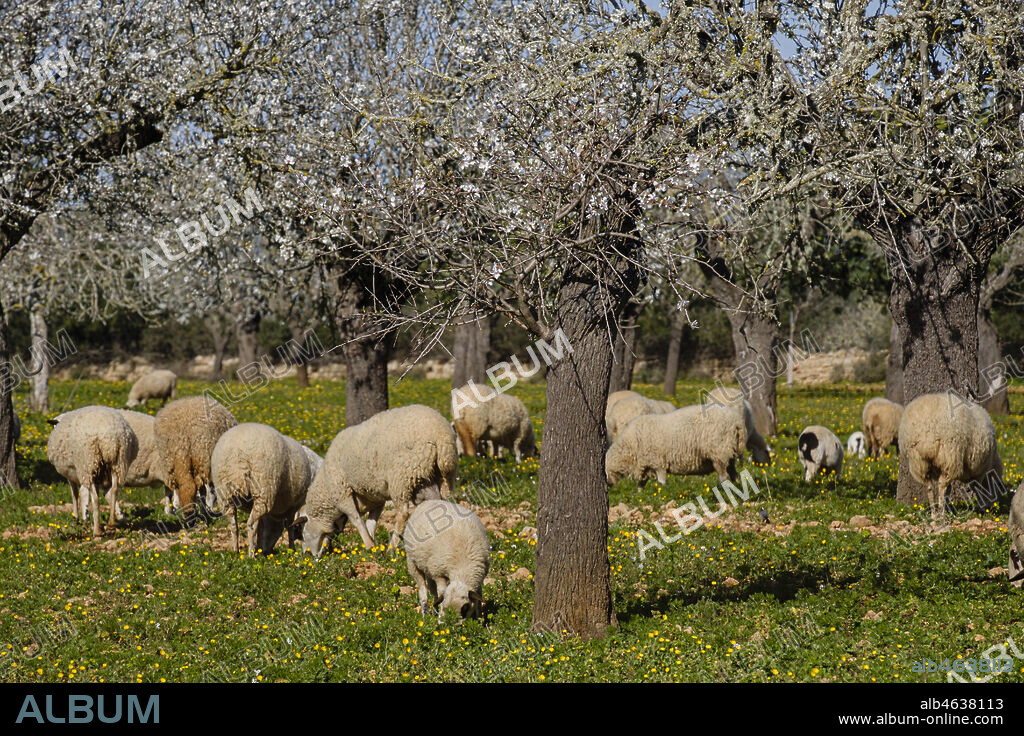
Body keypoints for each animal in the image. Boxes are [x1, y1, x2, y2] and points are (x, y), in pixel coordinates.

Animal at [45, 406, 138, 537]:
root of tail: (110, 437)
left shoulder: (71, 475)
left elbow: (75, 494)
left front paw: (76, 517)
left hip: (88, 463)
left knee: (95, 497)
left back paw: (97, 530)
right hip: (118, 462)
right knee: (114, 490)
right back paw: (111, 523)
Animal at [211, 423, 323, 556]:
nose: (265, 550)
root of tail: (237, 456)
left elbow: (261, 527)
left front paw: (259, 547)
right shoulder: (293, 506)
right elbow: (289, 526)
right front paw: (292, 549)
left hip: (226, 494)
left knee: (234, 525)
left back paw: (236, 551)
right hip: (263, 490)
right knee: (251, 524)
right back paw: (251, 554)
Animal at [293, 404, 458, 555]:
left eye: (300, 530)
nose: (306, 555)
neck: (326, 490)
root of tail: (441, 435)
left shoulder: (342, 493)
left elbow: (357, 520)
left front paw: (368, 545)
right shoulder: (376, 498)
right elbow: (371, 522)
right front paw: (372, 547)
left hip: (402, 477)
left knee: (403, 514)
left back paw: (392, 548)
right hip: (439, 476)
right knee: (440, 507)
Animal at [605, 404, 746, 487]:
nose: (608, 484)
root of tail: (737, 420)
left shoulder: (658, 462)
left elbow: (661, 482)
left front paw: (660, 494)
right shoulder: (646, 465)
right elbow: (641, 486)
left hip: (719, 451)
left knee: (724, 476)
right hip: (729, 453)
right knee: (734, 474)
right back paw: (738, 487)